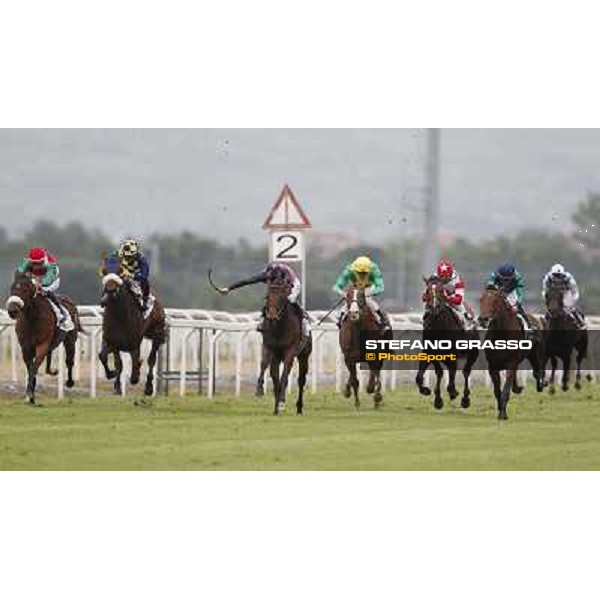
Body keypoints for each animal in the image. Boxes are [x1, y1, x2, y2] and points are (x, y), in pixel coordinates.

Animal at [5, 270, 80, 404]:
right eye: (12, 288)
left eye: (25, 289)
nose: (12, 310)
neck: (32, 319)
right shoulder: (25, 347)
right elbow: (30, 368)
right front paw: (31, 396)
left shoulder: (42, 344)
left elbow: (34, 368)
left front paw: (29, 394)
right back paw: (52, 371)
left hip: (70, 339)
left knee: (69, 360)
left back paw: (70, 382)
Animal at [99, 255, 166, 396]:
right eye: (105, 271)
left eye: (120, 271)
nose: (111, 291)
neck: (119, 316)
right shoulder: (113, 342)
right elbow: (115, 362)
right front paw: (116, 384)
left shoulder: (134, 343)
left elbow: (136, 361)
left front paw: (135, 376)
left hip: (157, 333)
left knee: (151, 359)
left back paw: (148, 387)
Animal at [418, 278, 478, 410]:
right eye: (427, 290)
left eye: (441, 291)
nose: (434, 307)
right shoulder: (430, 352)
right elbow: (429, 374)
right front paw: (433, 396)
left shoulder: (453, 355)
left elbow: (451, 379)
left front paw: (453, 392)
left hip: (473, 353)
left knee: (466, 371)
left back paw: (465, 399)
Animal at [480, 284, 548, 420]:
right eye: (481, 300)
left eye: (495, 301)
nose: (483, 319)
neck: (501, 334)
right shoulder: (492, 366)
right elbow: (497, 391)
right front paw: (501, 409)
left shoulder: (510, 364)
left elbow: (506, 390)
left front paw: (502, 414)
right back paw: (518, 387)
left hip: (536, 355)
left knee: (538, 372)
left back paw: (541, 383)